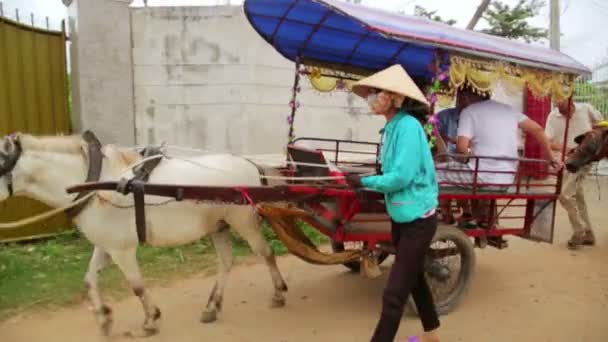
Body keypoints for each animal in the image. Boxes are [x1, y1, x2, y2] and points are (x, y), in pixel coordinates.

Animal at [0, 133, 288, 336]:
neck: (95, 186)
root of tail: (251, 164)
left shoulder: (122, 249)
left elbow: (136, 286)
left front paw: (151, 319)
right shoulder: (105, 245)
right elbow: (89, 280)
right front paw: (104, 317)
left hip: (244, 221)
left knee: (266, 253)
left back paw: (278, 293)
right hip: (219, 226)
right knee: (226, 262)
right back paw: (212, 307)